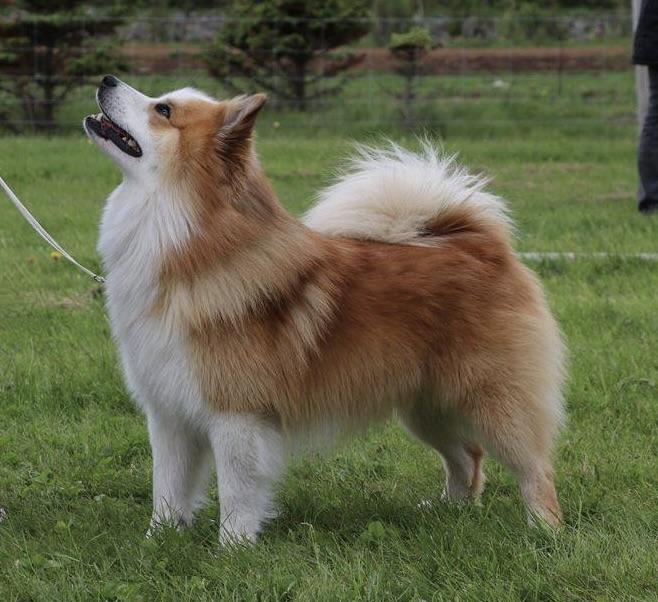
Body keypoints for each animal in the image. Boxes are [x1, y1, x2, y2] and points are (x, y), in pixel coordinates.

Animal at [83, 75, 564, 544]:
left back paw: (544, 531)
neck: (180, 238)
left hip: (494, 400)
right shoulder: (169, 413)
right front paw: (157, 541)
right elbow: (167, 487)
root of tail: (480, 244)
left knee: (533, 467)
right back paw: (448, 511)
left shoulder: (237, 415)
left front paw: (232, 548)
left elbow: (237, 491)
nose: (106, 78)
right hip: (427, 406)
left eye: (163, 110)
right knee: (467, 457)